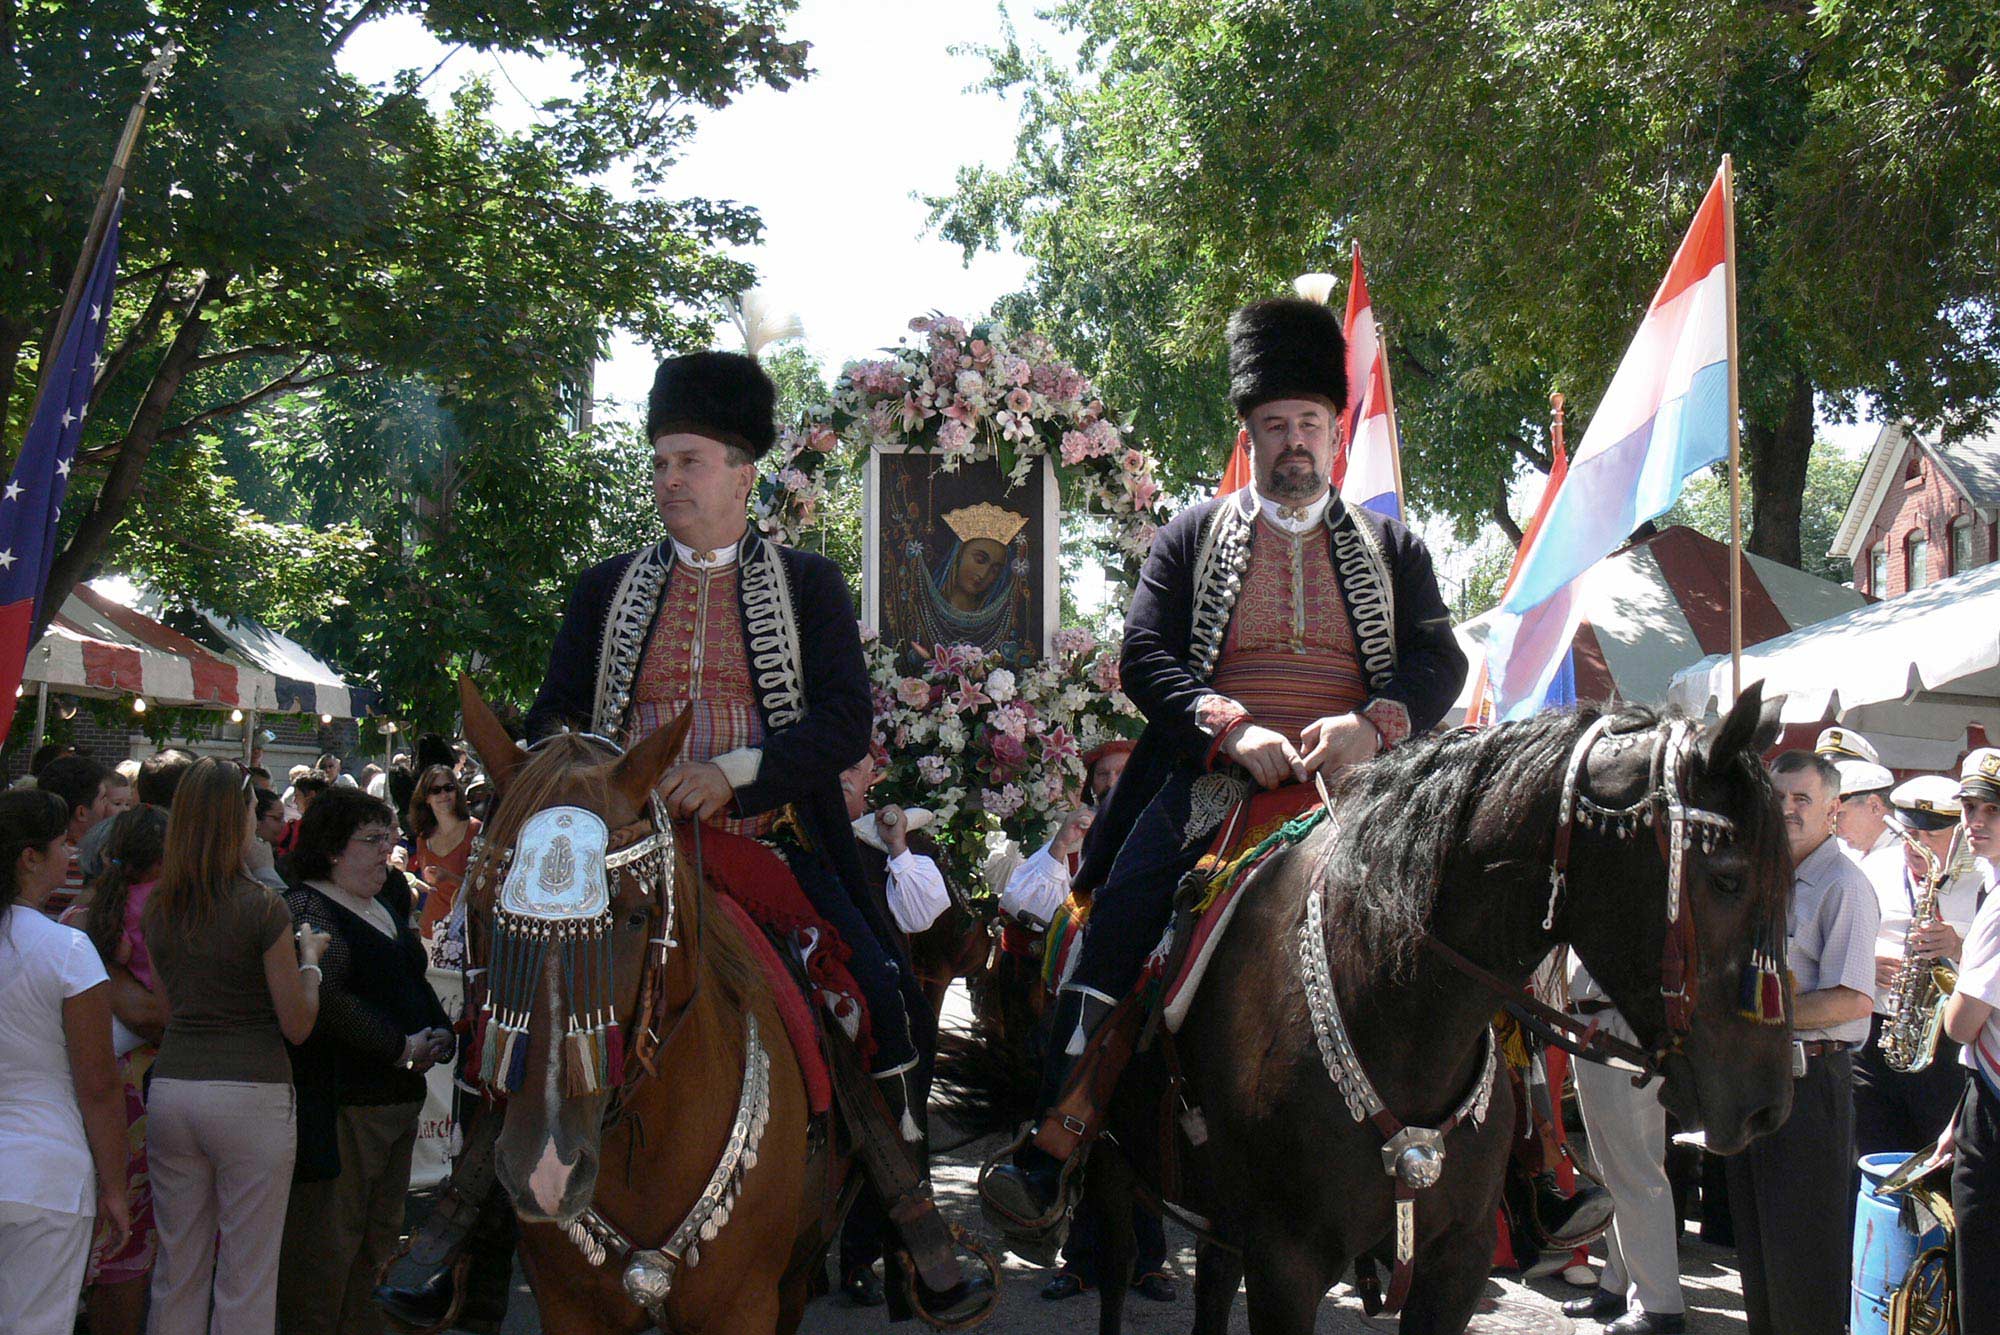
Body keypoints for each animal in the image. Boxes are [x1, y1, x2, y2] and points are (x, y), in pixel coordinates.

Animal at [1048, 687, 1800, 1335]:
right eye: (1727, 878)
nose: (1767, 1103)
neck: (1400, 1017)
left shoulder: (1456, 1263)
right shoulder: (1285, 1265)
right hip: (1115, 1168)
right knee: (1116, 1270)